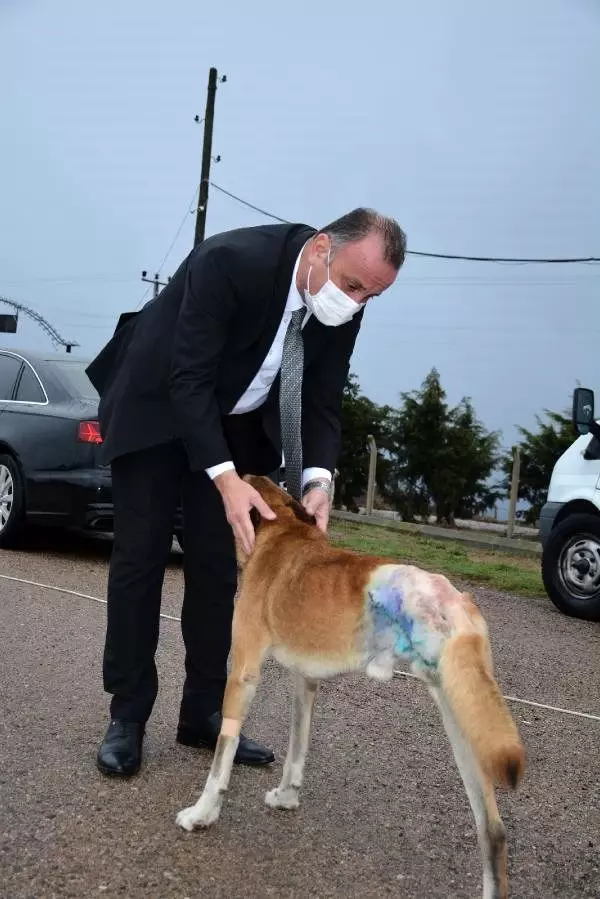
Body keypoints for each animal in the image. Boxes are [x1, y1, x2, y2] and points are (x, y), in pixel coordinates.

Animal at [177, 478, 524, 899]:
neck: (284, 530)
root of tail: (455, 600)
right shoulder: (305, 682)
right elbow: (297, 748)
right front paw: (287, 796)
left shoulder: (244, 673)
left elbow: (222, 757)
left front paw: (202, 814)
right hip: (466, 722)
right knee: (493, 830)